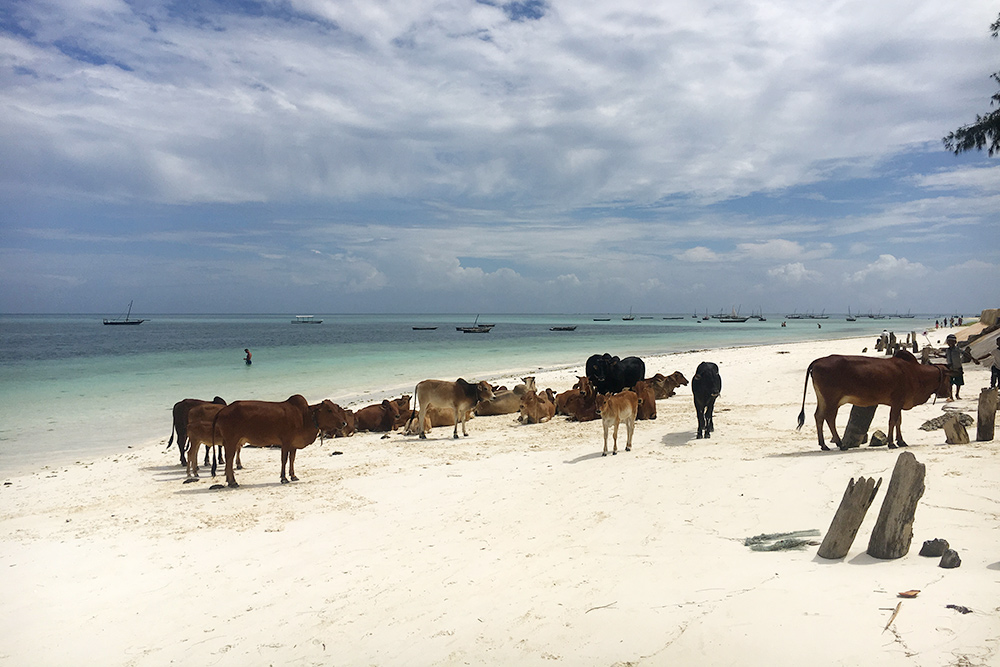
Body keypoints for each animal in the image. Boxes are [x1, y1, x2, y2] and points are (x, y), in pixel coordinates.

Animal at [211, 394, 348, 488]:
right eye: (329, 410)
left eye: (336, 408)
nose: (344, 423)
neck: (304, 416)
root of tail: (222, 410)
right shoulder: (286, 443)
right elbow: (284, 460)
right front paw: (283, 478)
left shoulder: (293, 445)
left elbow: (292, 459)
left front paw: (293, 476)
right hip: (231, 441)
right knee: (229, 460)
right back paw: (233, 482)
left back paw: (230, 481)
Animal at [796, 352, 952, 452]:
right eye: (948, 378)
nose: (947, 394)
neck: (915, 373)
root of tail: (818, 361)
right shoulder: (897, 402)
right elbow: (892, 421)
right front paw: (891, 443)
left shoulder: (899, 403)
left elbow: (898, 422)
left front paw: (901, 441)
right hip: (832, 400)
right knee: (829, 418)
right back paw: (841, 444)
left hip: (823, 399)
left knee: (818, 416)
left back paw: (823, 445)